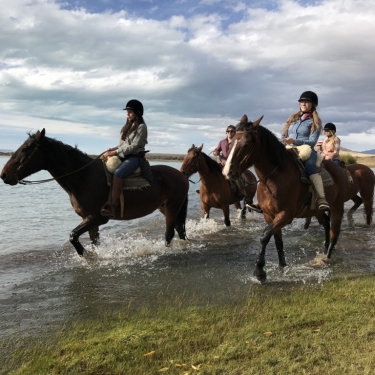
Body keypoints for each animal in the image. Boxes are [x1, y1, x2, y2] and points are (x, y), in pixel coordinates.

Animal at [0, 129, 188, 256]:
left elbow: (73, 236)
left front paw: (87, 256)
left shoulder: (97, 217)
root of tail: (181, 175)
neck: (83, 177)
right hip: (165, 208)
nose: (4, 175)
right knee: (178, 229)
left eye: (26, 148)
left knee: (169, 233)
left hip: (172, 207)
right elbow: (93, 241)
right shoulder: (89, 219)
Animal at [223, 117, 350, 282]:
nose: (227, 172)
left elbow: (264, 236)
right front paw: (282, 267)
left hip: (336, 207)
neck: (274, 178)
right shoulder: (269, 215)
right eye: (231, 142)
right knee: (326, 226)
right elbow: (277, 241)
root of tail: (339, 169)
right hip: (317, 211)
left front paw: (260, 271)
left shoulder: (285, 215)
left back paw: (326, 258)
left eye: (246, 144)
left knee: (334, 233)